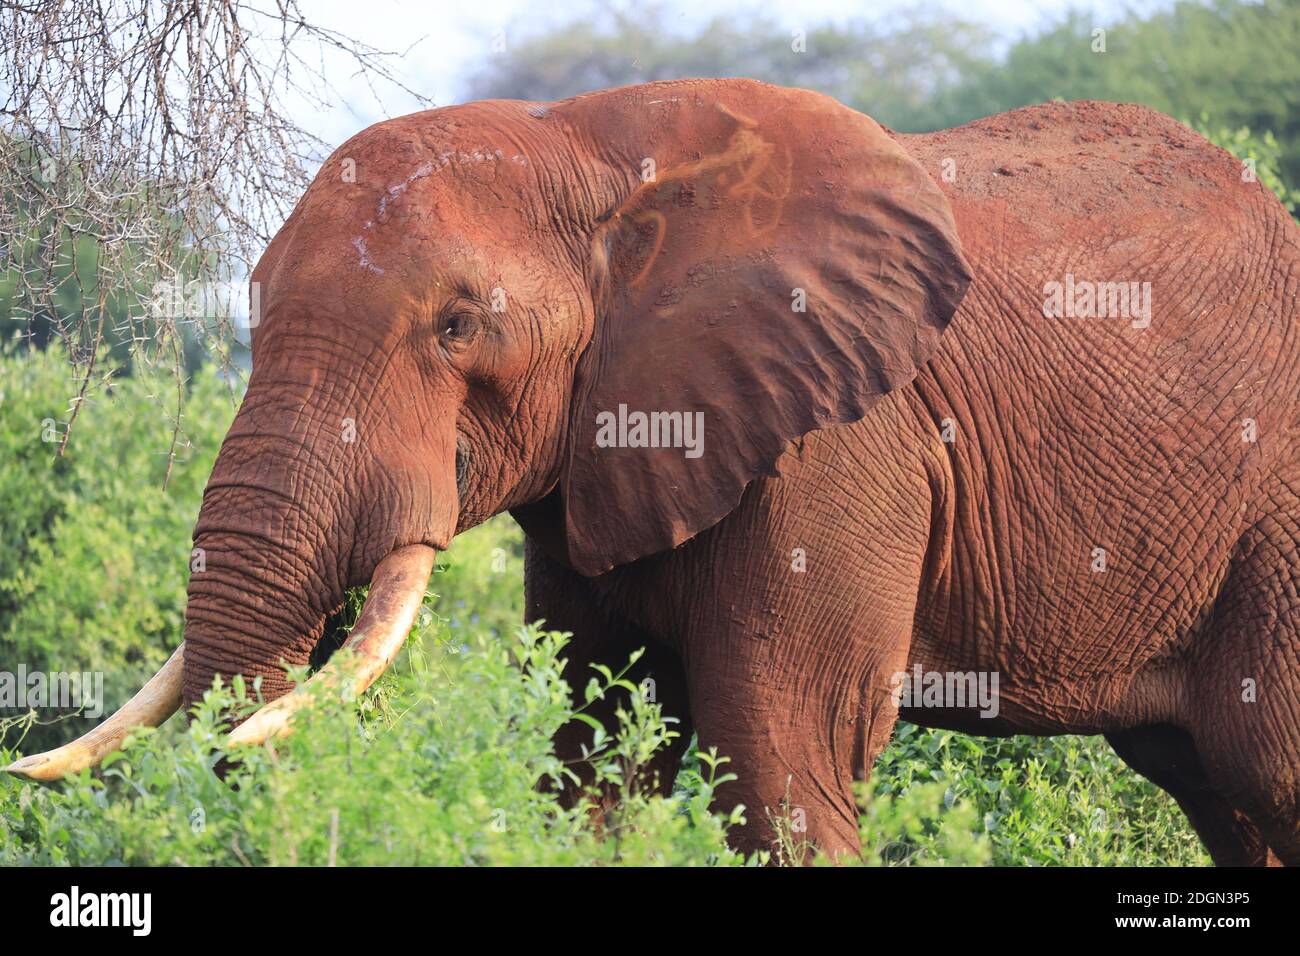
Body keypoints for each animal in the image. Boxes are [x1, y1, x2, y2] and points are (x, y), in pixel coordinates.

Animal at [10, 78, 1300, 863]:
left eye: (457, 328)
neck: (588, 146)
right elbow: (592, 758)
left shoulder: (835, 447)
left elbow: (780, 765)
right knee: (1219, 787)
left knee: (1261, 759)